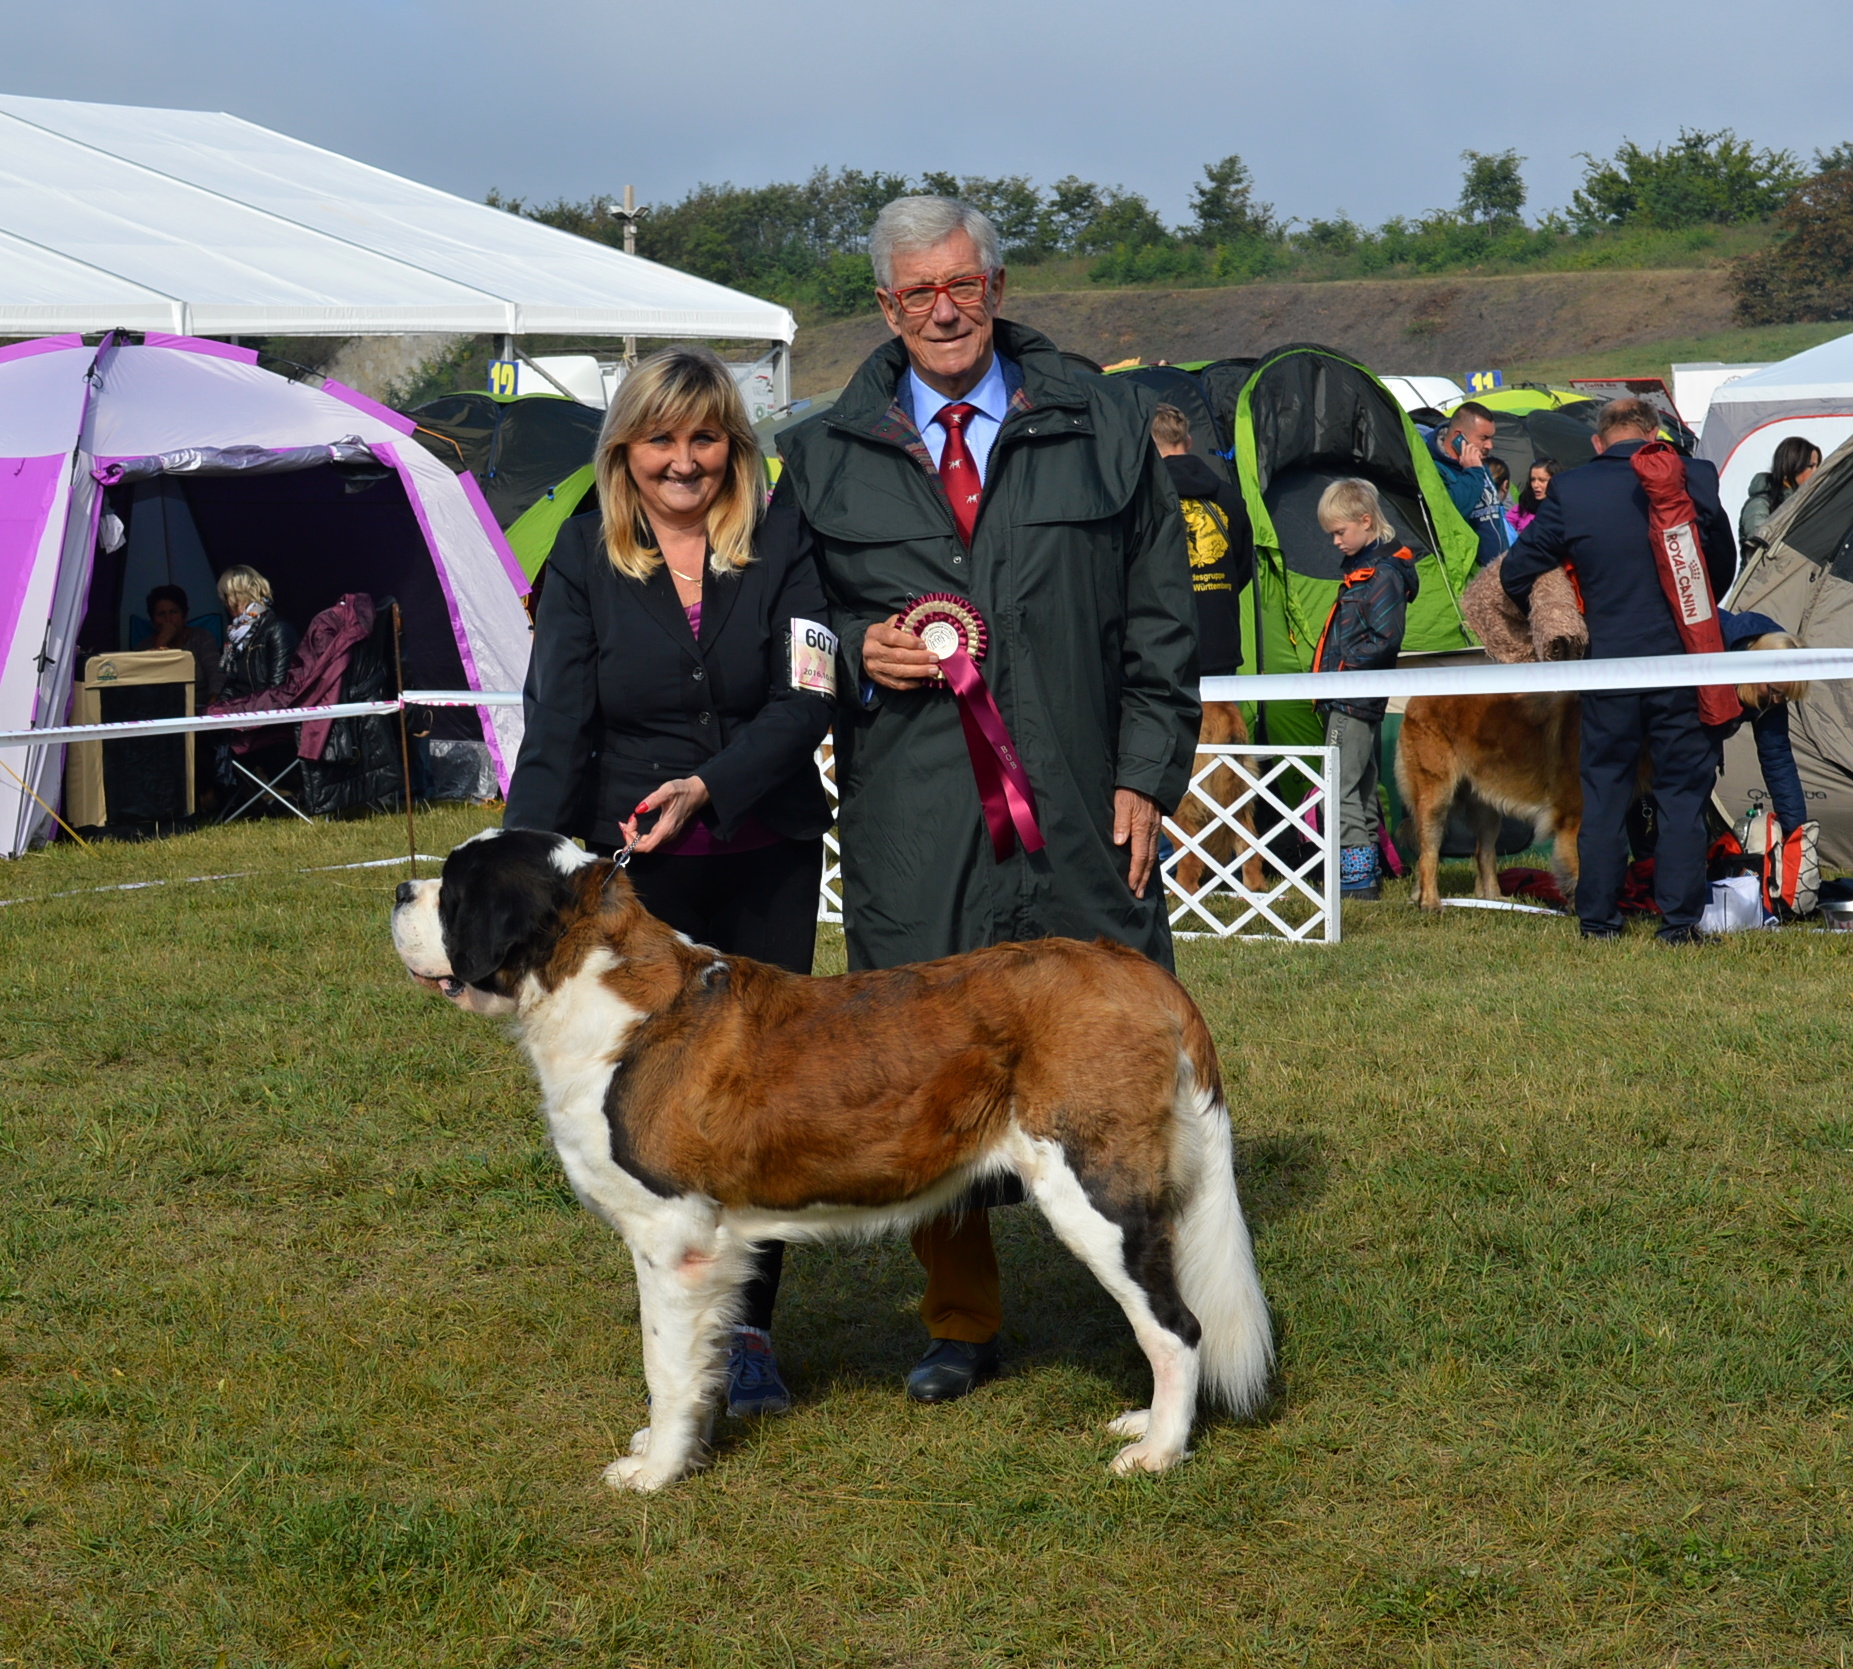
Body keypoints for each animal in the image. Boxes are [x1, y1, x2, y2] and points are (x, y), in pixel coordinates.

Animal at [391, 828, 1273, 1492]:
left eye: (455, 889)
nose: (400, 889)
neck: (594, 984)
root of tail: (1131, 967)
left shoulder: (672, 1236)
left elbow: (664, 1363)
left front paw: (656, 1472)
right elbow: (695, 1356)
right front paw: (672, 1446)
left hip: (1092, 1191)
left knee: (1176, 1325)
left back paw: (1157, 1449)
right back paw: (1146, 1419)